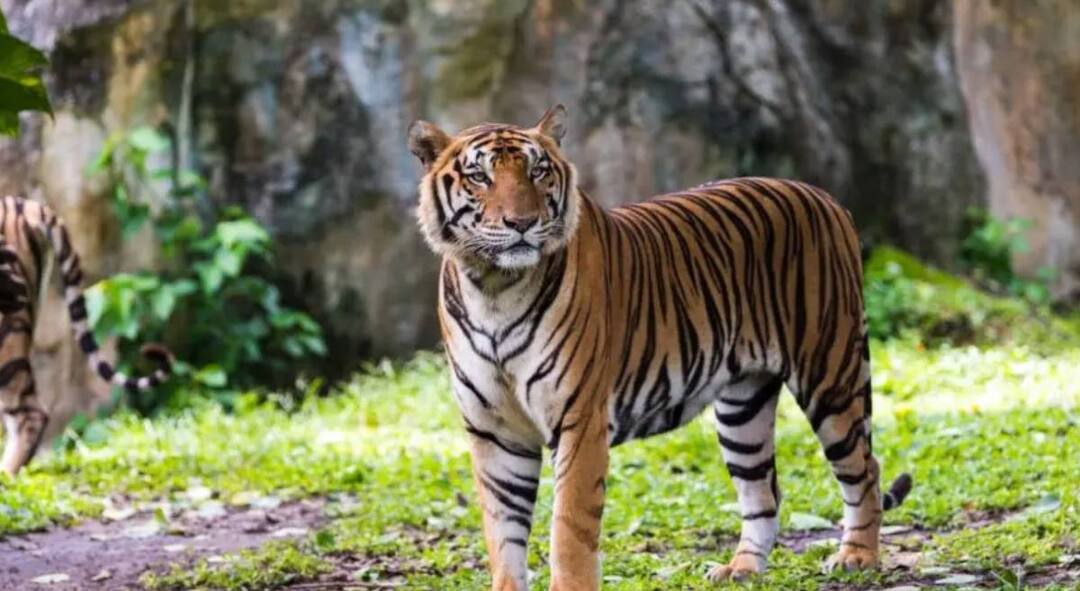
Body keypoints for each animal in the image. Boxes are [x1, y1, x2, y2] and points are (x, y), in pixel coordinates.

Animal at [407, 105, 912, 590]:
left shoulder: (579, 420)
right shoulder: (495, 432)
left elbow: (569, 530)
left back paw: (856, 557)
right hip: (743, 409)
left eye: (538, 172)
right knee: (764, 492)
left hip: (831, 374)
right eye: (480, 177)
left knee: (865, 468)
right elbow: (503, 535)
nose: (523, 224)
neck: (493, 288)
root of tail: (824, 197)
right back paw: (742, 569)